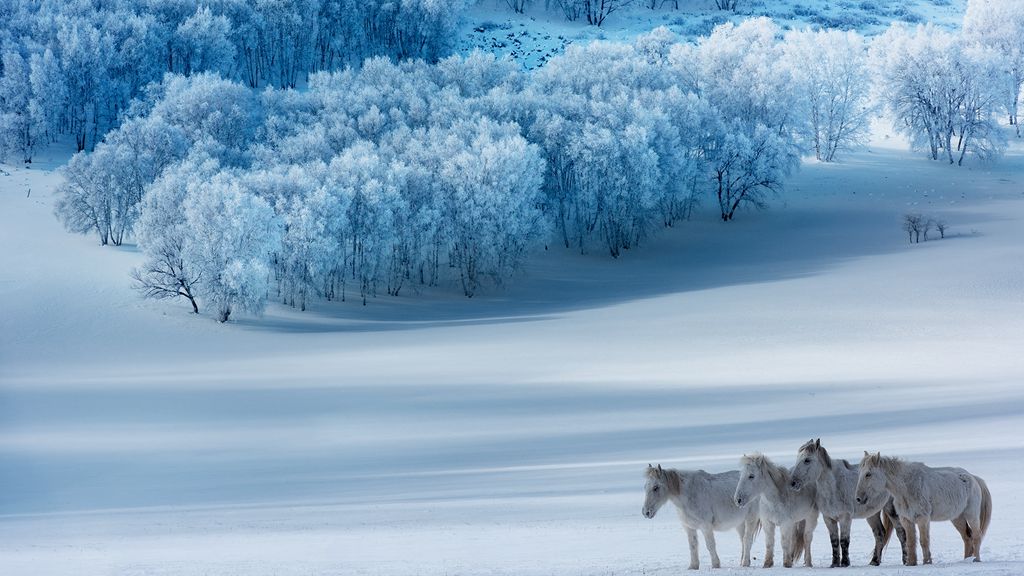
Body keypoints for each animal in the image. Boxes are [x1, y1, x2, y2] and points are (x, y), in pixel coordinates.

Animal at [856, 450, 991, 561]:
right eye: (860, 473)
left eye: (868, 474)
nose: (858, 498)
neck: (907, 487)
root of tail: (974, 478)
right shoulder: (906, 520)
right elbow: (910, 542)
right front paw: (911, 563)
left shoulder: (922, 519)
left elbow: (924, 541)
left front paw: (927, 562)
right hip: (957, 518)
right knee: (967, 538)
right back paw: (966, 559)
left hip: (971, 515)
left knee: (976, 536)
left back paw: (976, 559)